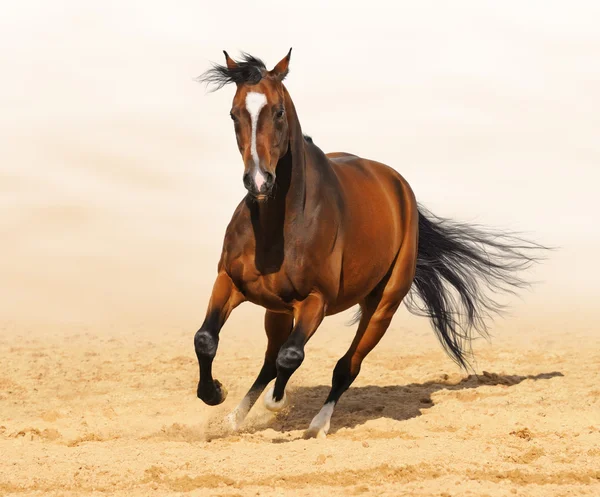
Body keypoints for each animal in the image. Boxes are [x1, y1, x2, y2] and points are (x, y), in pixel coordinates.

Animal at [195, 51, 540, 438]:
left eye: (279, 111)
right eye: (234, 114)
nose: (258, 181)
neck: (278, 227)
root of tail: (400, 189)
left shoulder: (315, 302)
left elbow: (292, 356)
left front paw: (277, 403)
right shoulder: (229, 281)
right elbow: (206, 339)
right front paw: (214, 394)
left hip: (382, 307)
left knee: (345, 366)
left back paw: (317, 425)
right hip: (278, 309)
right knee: (270, 360)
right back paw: (232, 420)